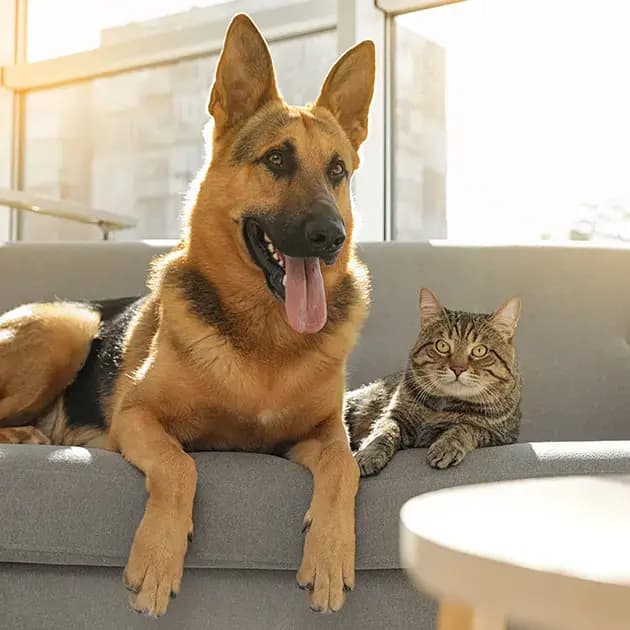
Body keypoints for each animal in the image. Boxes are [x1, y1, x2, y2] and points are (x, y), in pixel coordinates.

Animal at [0, 13, 376, 616]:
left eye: (337, 170)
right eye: (277, 159)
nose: (331, 237)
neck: (265, 339)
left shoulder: (322, 435)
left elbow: (345, 469)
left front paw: (330, 556)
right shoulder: (139, 419)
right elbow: (181, 467)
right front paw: (157, 559)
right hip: (69, 329)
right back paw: (30, 436)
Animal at [346, 288, 524, 476]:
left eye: (479, 350)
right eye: (442, 346)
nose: (458, 368)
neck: (442, 405)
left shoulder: (500, 434)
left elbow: (465, 428)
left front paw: (445, 447)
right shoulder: (394, 415)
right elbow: (382, 432)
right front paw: (368, 453)